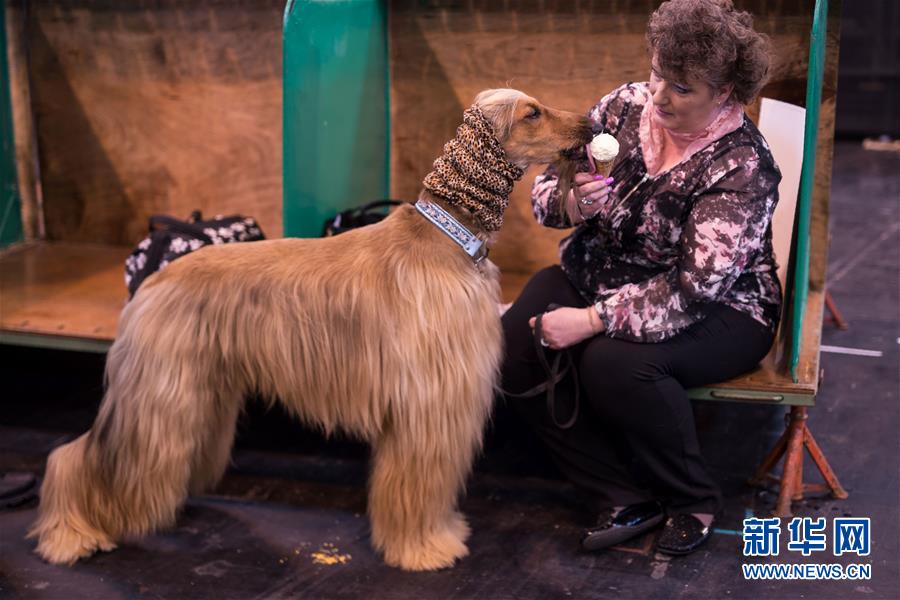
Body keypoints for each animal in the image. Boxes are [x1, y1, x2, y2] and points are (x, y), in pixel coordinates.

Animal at [29, 90, 592, 572]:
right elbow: (414, 487)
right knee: (77, 458)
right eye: (532, 112)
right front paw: (424, 548)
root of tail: (152, 279)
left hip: (199, 393)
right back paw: (71, 534)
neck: (446, 238)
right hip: (159, 399)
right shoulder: (426, 405)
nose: (590, 122)